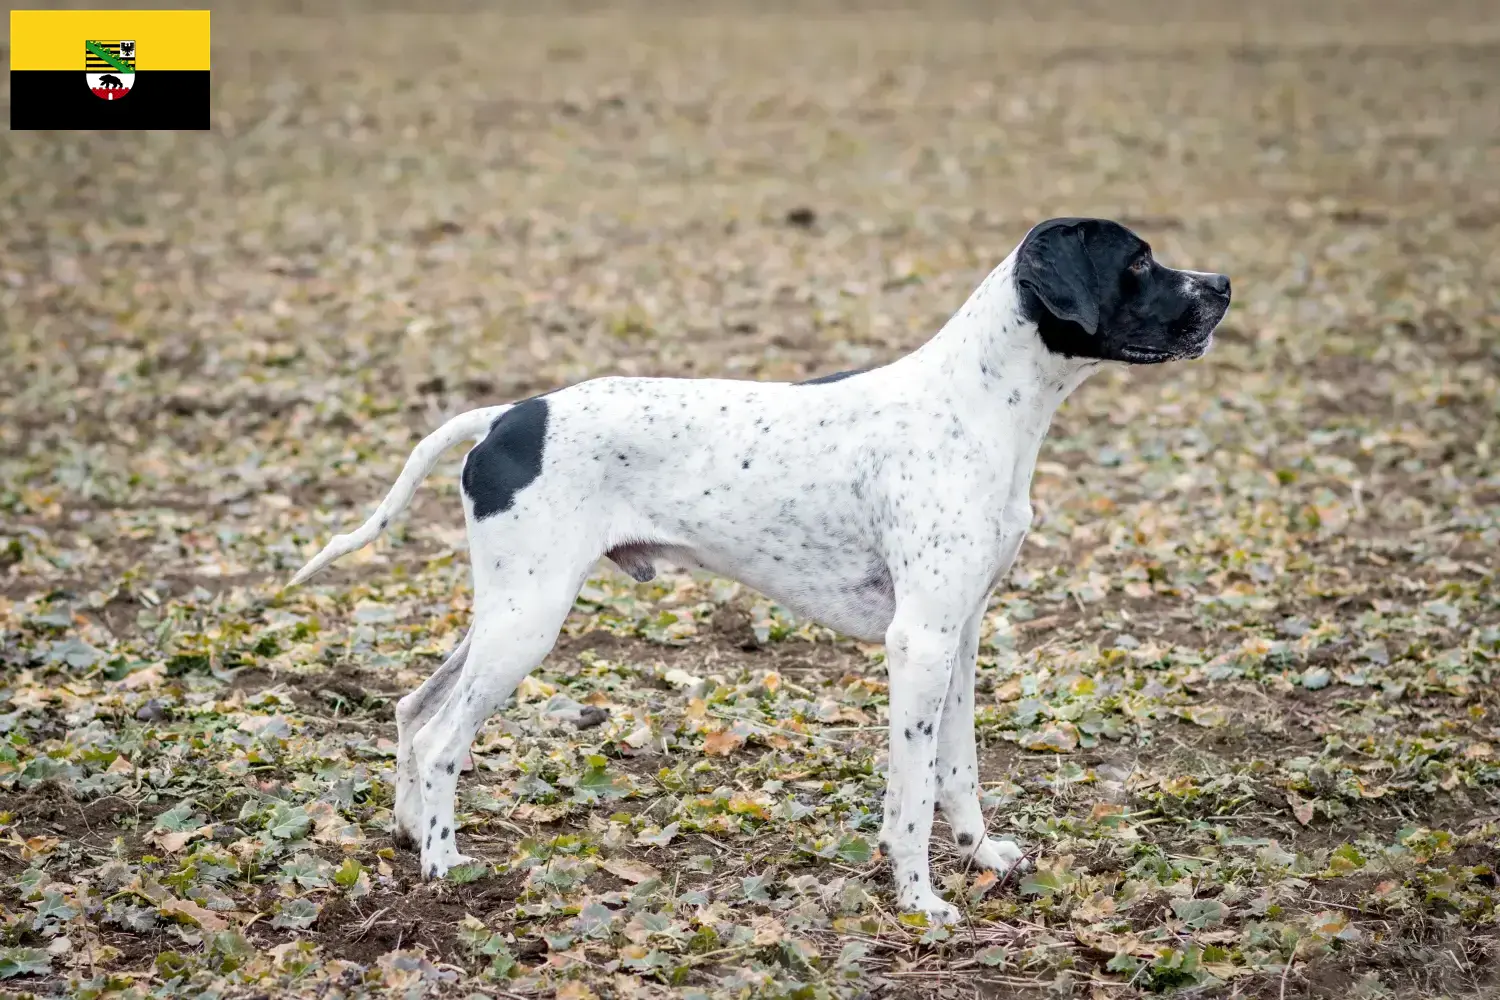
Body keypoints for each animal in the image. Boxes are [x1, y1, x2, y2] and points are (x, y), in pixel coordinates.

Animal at [289, 218, 1230, 923]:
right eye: (1139, 261)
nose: (1222, 284)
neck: (975, 405)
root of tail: (510, 415)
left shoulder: (959, 637)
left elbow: (956, 771)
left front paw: (983, 856)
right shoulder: (918, 643)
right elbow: (911, 794)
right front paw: (919, 900)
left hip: (506, 615)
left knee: (413, 709)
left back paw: (410, 832)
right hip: (529, 621)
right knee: (443, 739)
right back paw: (444, 863)